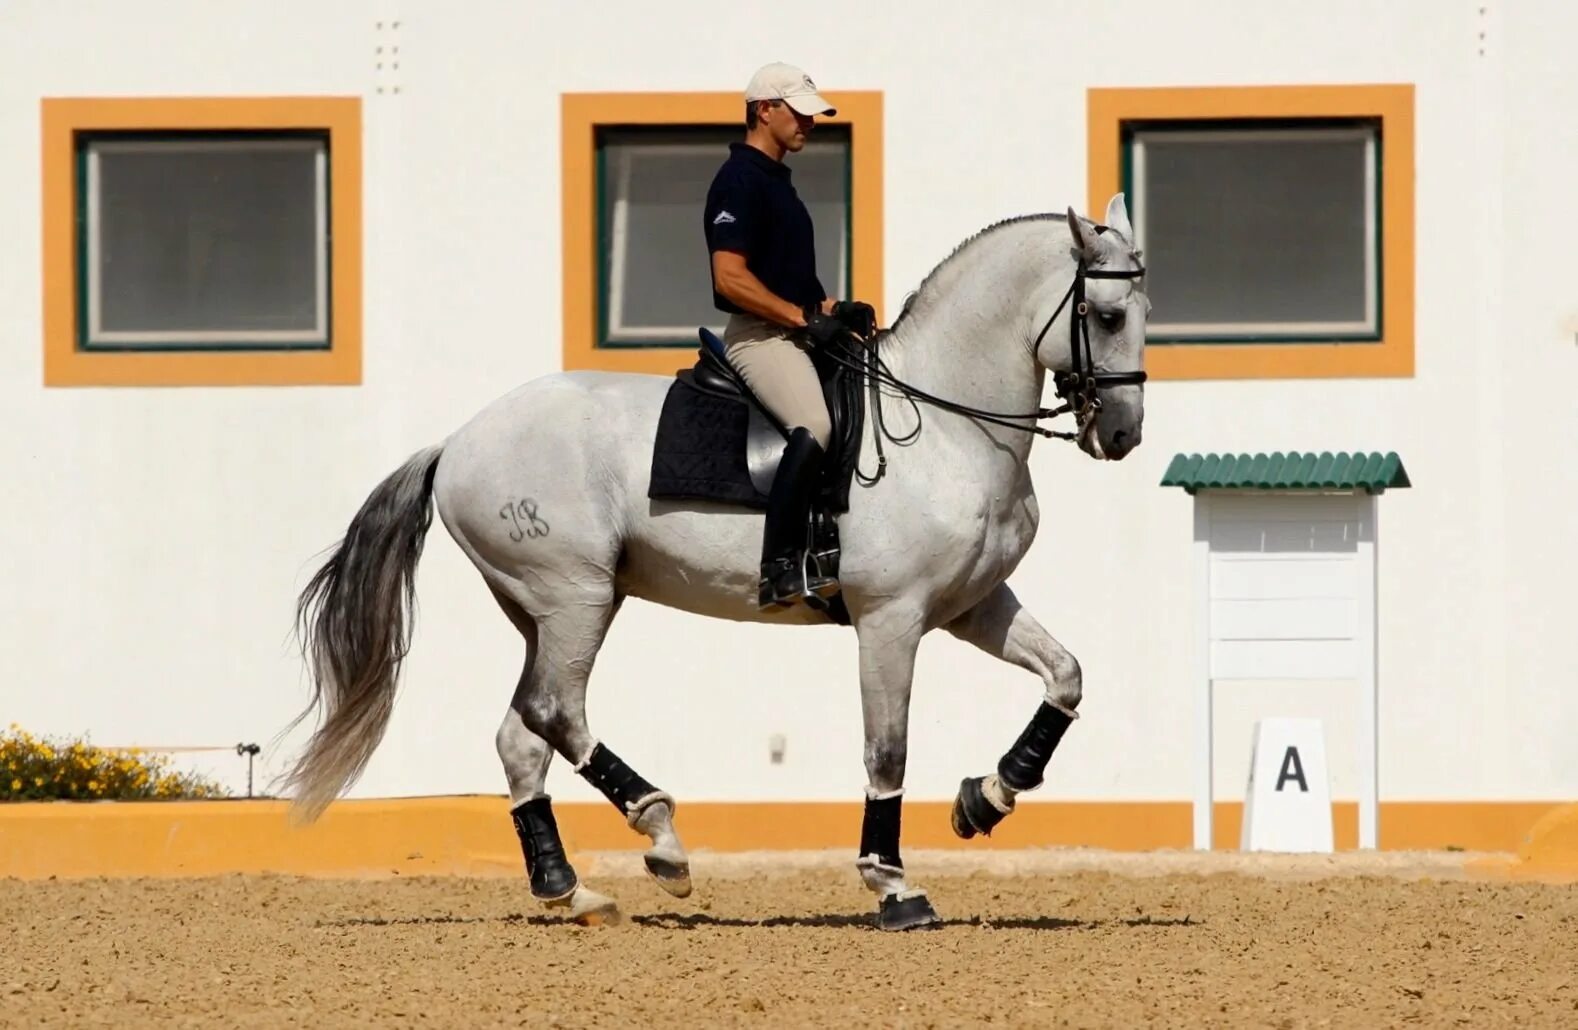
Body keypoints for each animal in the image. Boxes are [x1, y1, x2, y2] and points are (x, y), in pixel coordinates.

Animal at [280, 194, 1148, 933]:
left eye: (1145, 314)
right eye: (1106, 316)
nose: (1124, 434)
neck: (944, 424)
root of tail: (457, 441)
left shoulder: (971, 605)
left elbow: (1065, 677)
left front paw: (987, 799)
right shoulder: (891, 618)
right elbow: (888, 748)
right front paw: (892, 884)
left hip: (544, 610)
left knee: (523, 735)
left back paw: (571, 889)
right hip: (576, 596)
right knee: (559, 713)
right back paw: (662, 838)